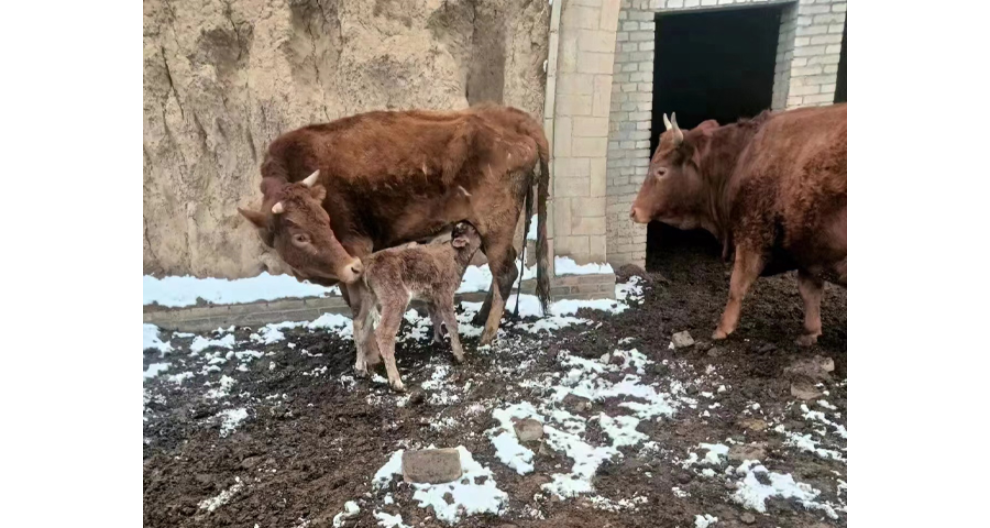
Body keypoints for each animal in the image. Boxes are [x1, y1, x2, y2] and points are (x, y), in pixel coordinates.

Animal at [237, 104, 556, 372]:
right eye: (301, 236)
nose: (349, 266)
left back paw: (487, 335)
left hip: (496, 226)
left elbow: (361, 308)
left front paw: (372, 359)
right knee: (506, 265)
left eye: (325, 221)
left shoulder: (356, 248)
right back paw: (480, 318)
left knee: (505, 271)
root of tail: (510, 115)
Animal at [356, 220, 484, 392]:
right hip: (395, 297)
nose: (483, 236)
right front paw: (459, 355)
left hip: (370, 297)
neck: (454, 256)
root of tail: (368, 264)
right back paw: (396, 382)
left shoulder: (432, 297)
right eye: (474, 230)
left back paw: (360, 367)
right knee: (383, 332)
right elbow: (452, 323)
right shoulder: (445, 293)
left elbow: (436, 317)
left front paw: (437, 339)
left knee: (360, 324)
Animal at [632, 104, 848, 346]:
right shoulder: (809, 251)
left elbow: (737, 284)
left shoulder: (752, 235)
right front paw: (810, 333)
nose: (634, 211)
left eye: (661, 170)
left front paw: (722, 329)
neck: (740, 158)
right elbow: (809, 291)